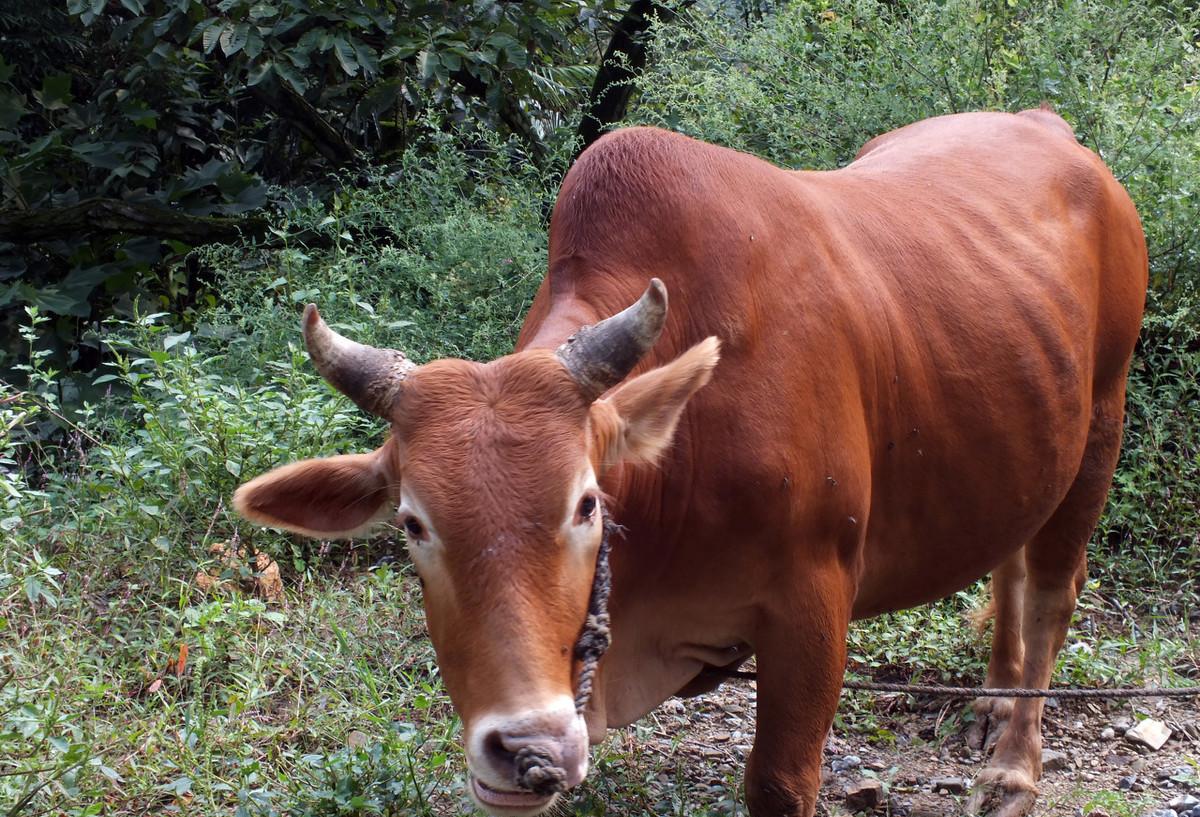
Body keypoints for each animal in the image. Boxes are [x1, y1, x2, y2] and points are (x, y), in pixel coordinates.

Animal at [231, 109, 1142, 815]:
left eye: (586, 504)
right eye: (414, 523)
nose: (523, 744)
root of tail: (1045, 124)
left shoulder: (813, 604)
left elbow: (779, 781)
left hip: (1103, 420)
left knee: (1052, 589)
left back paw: (1014, 769)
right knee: (1010, 558)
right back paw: (990, 703)